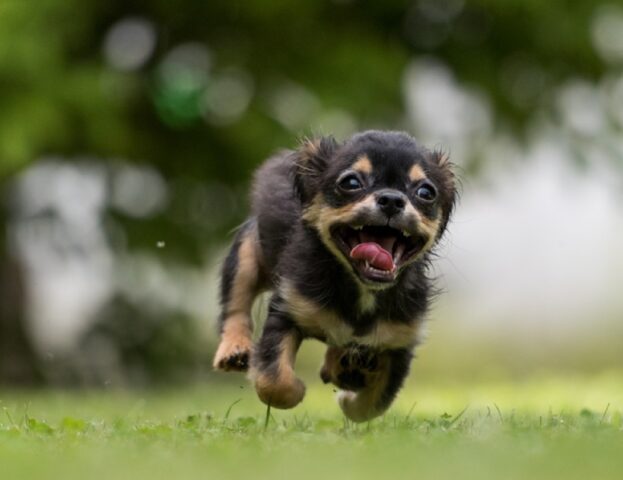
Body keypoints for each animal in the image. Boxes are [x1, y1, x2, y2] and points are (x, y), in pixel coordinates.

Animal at [212, 130, 456, 420]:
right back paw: (234, 349)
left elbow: (372, 405)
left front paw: (348, 398)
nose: (392, 199)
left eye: (426, 192)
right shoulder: (287, 311)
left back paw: (342, 366)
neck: (362, 289)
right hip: (246, 255)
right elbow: (274, 382)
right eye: (351, 182)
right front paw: (297, 390)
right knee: (235, 305)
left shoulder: (399, 342)